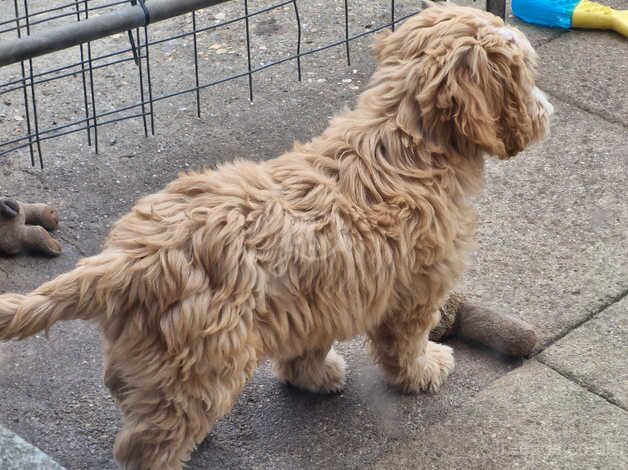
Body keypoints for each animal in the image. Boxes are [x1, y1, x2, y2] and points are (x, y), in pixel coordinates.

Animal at [0, 4, 548, 470]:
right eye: (527, 75)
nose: (547, 112)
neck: (402, 140)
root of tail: (125, 259)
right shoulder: (416, 289)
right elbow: (405, 342)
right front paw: (425, 370)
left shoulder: (316, 298)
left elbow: (306, 347)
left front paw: (315, 376)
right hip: (200, 364)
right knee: (146, 444)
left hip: (155, 358)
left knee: (131, 399)